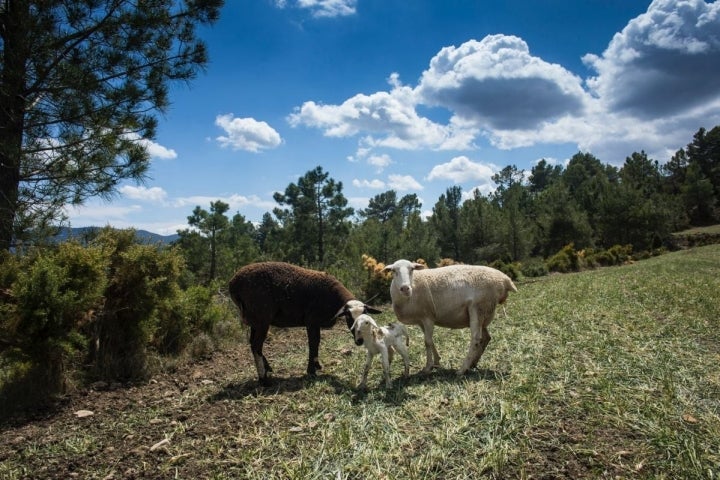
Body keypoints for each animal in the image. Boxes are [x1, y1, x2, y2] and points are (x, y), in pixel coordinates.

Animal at [229, 260, 376, 384]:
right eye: (349, 317)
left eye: (366, 319)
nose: (360, 341)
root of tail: (234, 284)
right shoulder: (311, 321)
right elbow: (313, 343)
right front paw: (311, 371)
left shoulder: (315, 323)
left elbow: (317, 342)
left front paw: (317, 365)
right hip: (262, 317)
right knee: (256, 345)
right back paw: (263, 378)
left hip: (255, 320)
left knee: (252, 344)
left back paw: (267, 368)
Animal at [386, 258, 516, 376]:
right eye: (393, 271)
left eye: (412, 269)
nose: (405, 288)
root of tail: (505, 279)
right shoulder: (421, 320)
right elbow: (430, 341)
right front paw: (436, 362)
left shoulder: (428, 317)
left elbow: (427, 342)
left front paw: (428, 367)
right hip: (483, 312)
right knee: (486, 337)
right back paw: (473, 363)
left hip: (478, 307)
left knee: (476, 339)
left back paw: (462, 370)